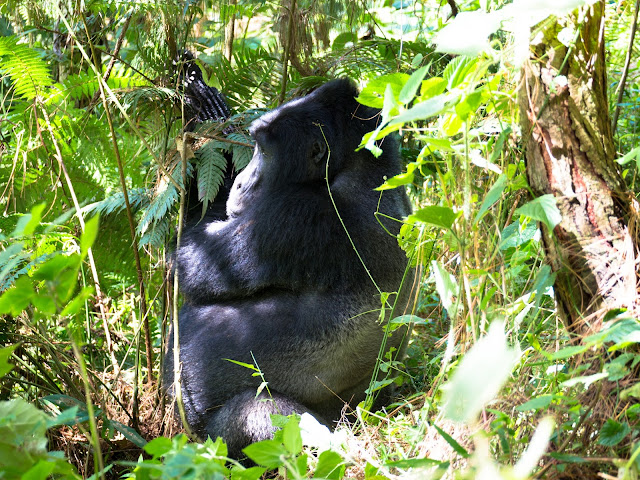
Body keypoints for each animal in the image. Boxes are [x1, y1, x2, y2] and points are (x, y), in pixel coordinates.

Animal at [165, 78, 412, 458]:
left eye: (265, 152)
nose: (240, 184)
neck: (364, 170)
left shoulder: (293, 215)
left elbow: (191, 264)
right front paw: (211, 111)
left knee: (260, 413)